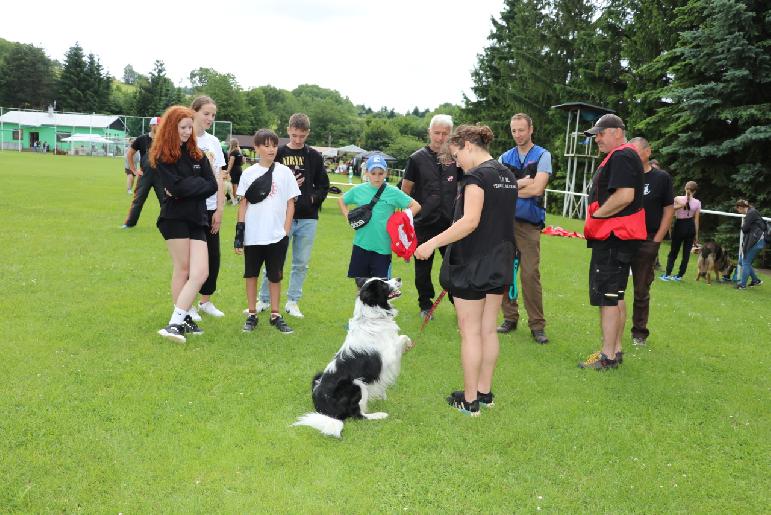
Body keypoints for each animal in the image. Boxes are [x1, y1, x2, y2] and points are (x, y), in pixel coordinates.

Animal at [292, 278, 414, 440]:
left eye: (383, 279)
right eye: (383, 284)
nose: (399, 278)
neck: (371, 316)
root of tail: (324, 411)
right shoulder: (388, 356)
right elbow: (403, 337)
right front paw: (408, 345)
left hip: (317, 376)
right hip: (357, 384)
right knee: (358, 415)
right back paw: (379, 415)